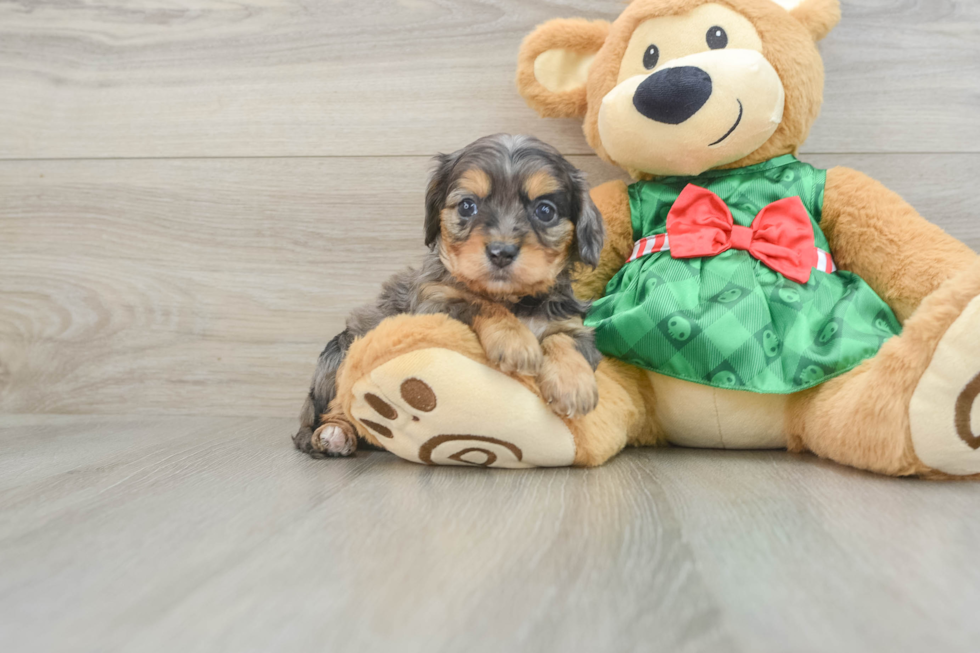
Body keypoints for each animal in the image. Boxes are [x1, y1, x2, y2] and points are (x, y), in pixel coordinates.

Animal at [294, 133, 608, 458]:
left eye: (545, 211)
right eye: (467, 206)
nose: (501, 252)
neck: (513, 299)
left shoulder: (572, 324)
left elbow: (564, 339)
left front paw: (573, 384)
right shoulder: (433, 304)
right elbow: (478, 303)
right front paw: (515, 341)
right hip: (338, 354)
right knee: (335, 405)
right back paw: (335, 433)